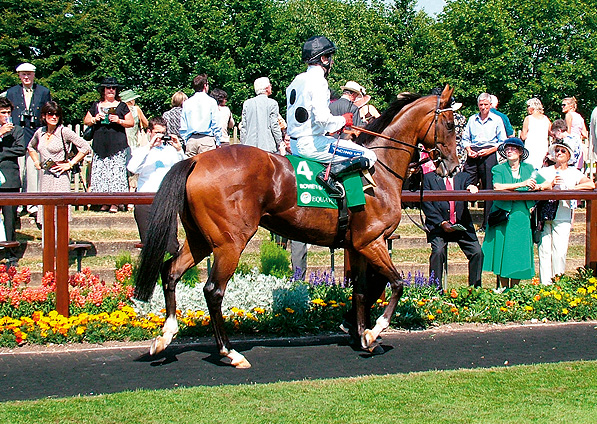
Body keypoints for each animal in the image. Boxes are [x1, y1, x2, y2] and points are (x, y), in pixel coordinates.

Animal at [135, 83, 458, 368]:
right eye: (452, 124)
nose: (453, 166)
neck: (379, 170)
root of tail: (197, 160)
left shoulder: (358, 246)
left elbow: (363, 289)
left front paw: (358, 332)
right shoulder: (371, 241)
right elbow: (396, 283)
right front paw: (373, 330)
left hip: (201, 239)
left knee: (171, 271)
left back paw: (165, 336)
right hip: (229, 243)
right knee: (213, 290)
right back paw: (230, 352)